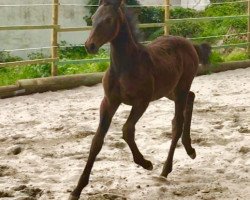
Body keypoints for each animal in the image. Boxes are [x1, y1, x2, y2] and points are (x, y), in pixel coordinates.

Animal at [68, 0, 211, 199]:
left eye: (109, 19)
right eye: (93, 17)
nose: (90, 45)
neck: (124, 66)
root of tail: (189, 43)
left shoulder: (142, 102)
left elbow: (127, 130)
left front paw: (146, 163)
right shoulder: (108, 102)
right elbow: (97, 140)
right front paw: (77, 189)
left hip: (181, 87)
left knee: (177, 122)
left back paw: (165, 169)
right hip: (169, 90)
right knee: (191, 98)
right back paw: (190, 149)